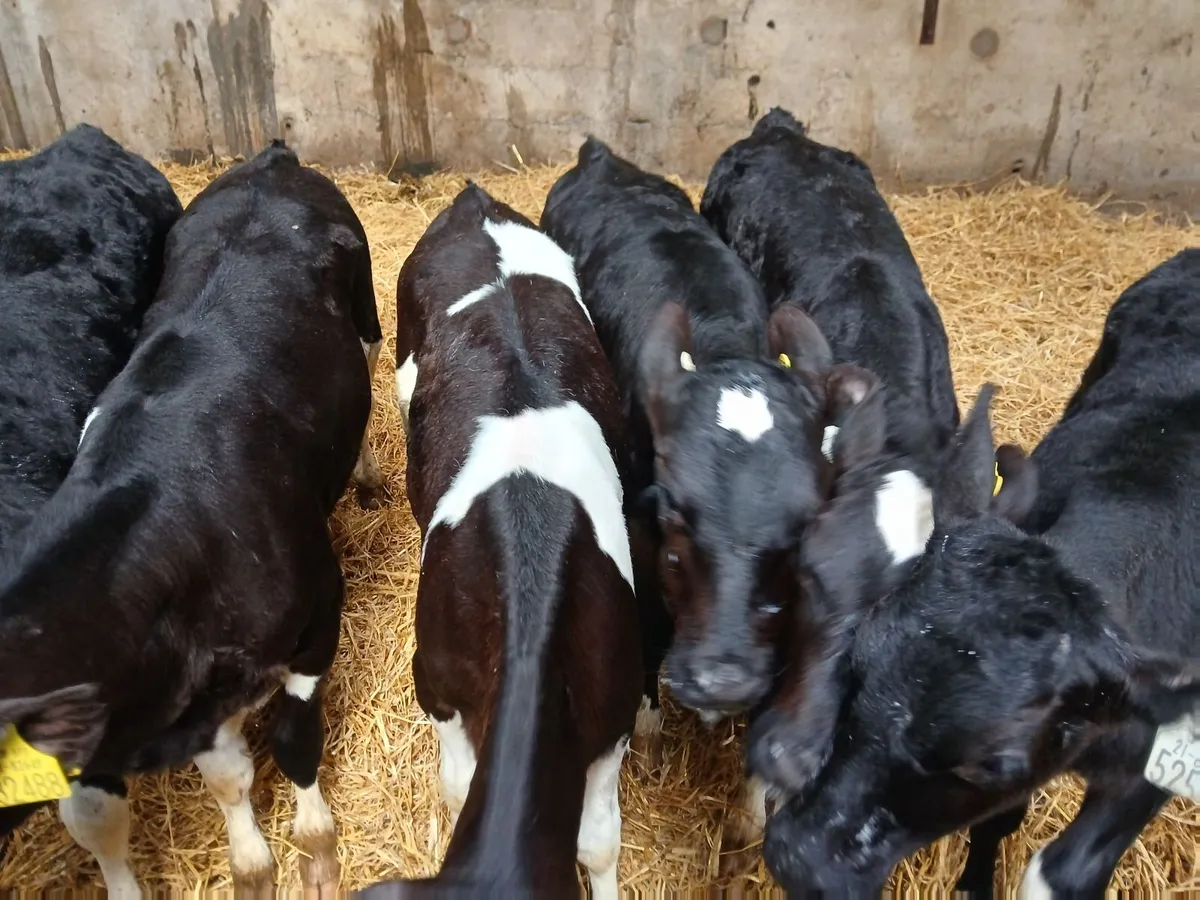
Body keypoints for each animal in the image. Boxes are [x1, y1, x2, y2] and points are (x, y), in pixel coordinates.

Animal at [0, 139, 386, 898]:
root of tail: (271, 160)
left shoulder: (319, 612)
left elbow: (295, 738)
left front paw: (317, 851)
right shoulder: (191, 700)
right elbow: (227, 779)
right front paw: (252, 866)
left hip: (364, 311)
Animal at [755, 249, 1200, 898]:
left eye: (993, 763)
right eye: (863, 661)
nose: (798, 857)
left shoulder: (1151, 765)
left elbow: (1067, 869)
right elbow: (1000, 821)